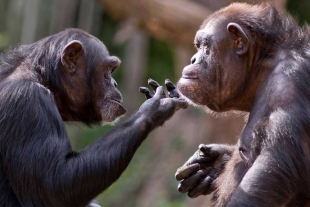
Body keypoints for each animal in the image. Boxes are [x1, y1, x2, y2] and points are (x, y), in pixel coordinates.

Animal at [0, 27, 186, 207]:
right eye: (108, 70)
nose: (114, 83)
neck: (42, 78)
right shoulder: (27, 100)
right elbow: (54, 185)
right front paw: (154, 107)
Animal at [176, 2, 310, 206]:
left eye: (206, 46)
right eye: (198, 46)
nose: (193, 59)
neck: (263, 68)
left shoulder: (288, 88)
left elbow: (275, 170)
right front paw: (213, 165)